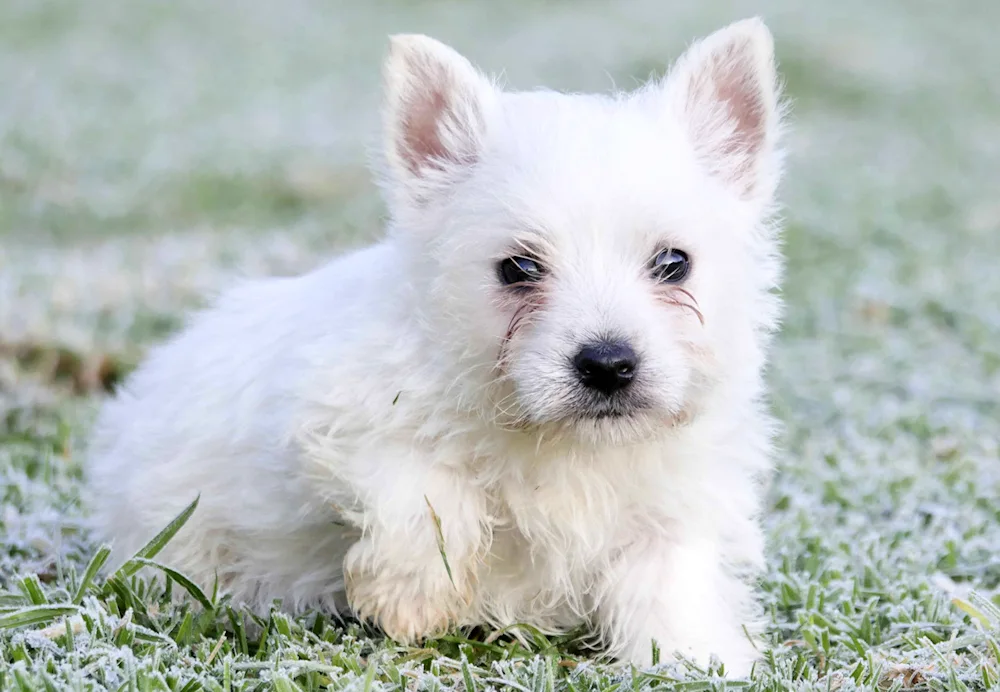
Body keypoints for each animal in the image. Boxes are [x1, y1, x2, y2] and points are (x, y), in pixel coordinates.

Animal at [86, 20, 784, 676]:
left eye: (674, 263)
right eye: (518, 268)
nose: (608, 365)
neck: (563, 445)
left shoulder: (673, 504)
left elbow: (669, 582)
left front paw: (694, 659)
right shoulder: (331, 413)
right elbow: (422, 480)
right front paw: (411, 593)